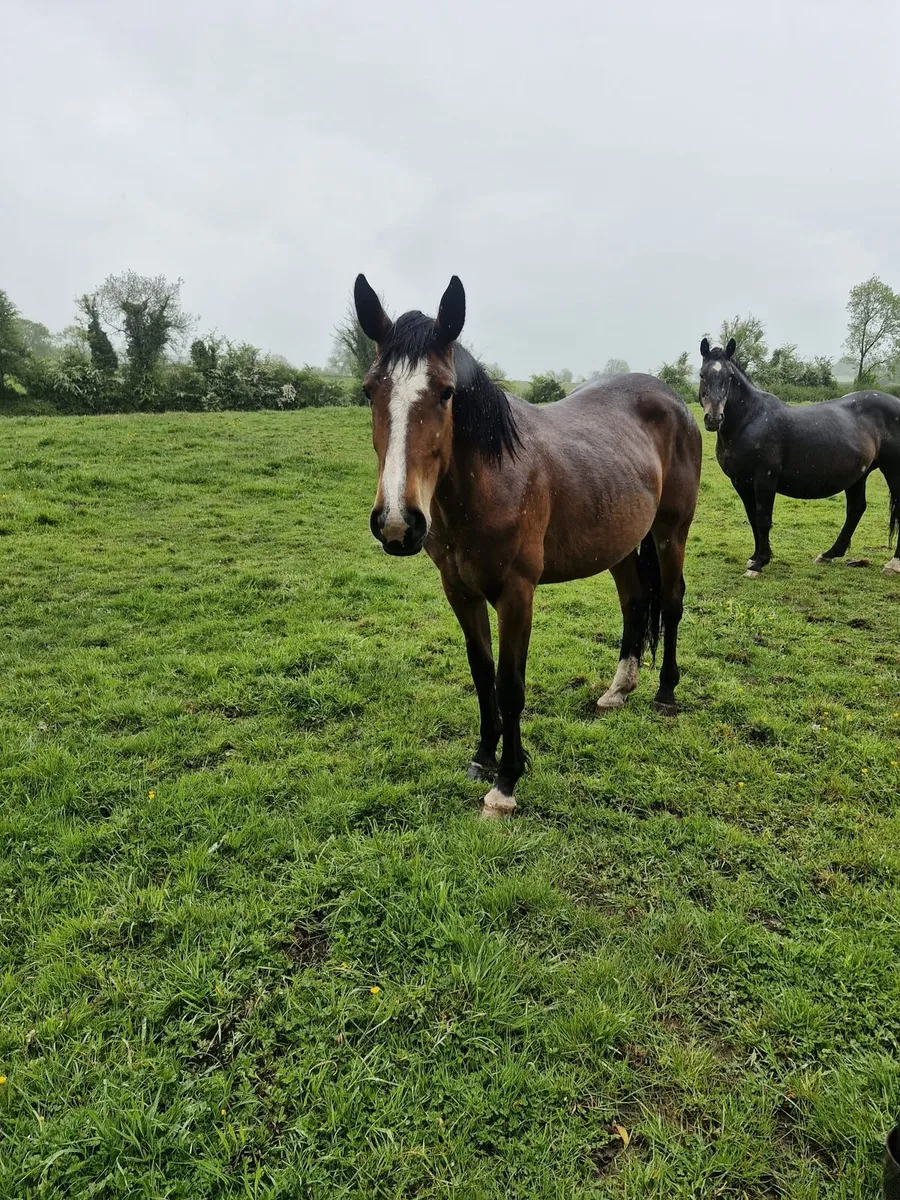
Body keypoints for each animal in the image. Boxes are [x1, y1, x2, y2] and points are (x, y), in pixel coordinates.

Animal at [353, 274, 702, 819]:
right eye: (370, 390)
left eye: (447, 392)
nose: (396, 522)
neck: (491, 481)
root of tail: (676, 402)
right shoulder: (460, 591)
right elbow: (482, 674)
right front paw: (482, 756)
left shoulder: (517, 594)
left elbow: (510, 685)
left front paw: (506, 783)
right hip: (621, 543)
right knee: (634, 601)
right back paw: (618, 690)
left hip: (671, 533)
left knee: (669, 602)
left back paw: (665, 693)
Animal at [698, 338, 900, 578]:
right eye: (702, 375)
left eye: (729, 377)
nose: (713, 418)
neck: (749, 420)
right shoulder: (741, 482)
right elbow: (753, 517)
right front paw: (755, 558)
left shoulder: (765, 479)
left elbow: (763, 518)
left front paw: (759, 564)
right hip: (859, 474)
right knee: (856, 509)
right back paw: (829, 554)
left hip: (893, 470)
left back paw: (893, 564)